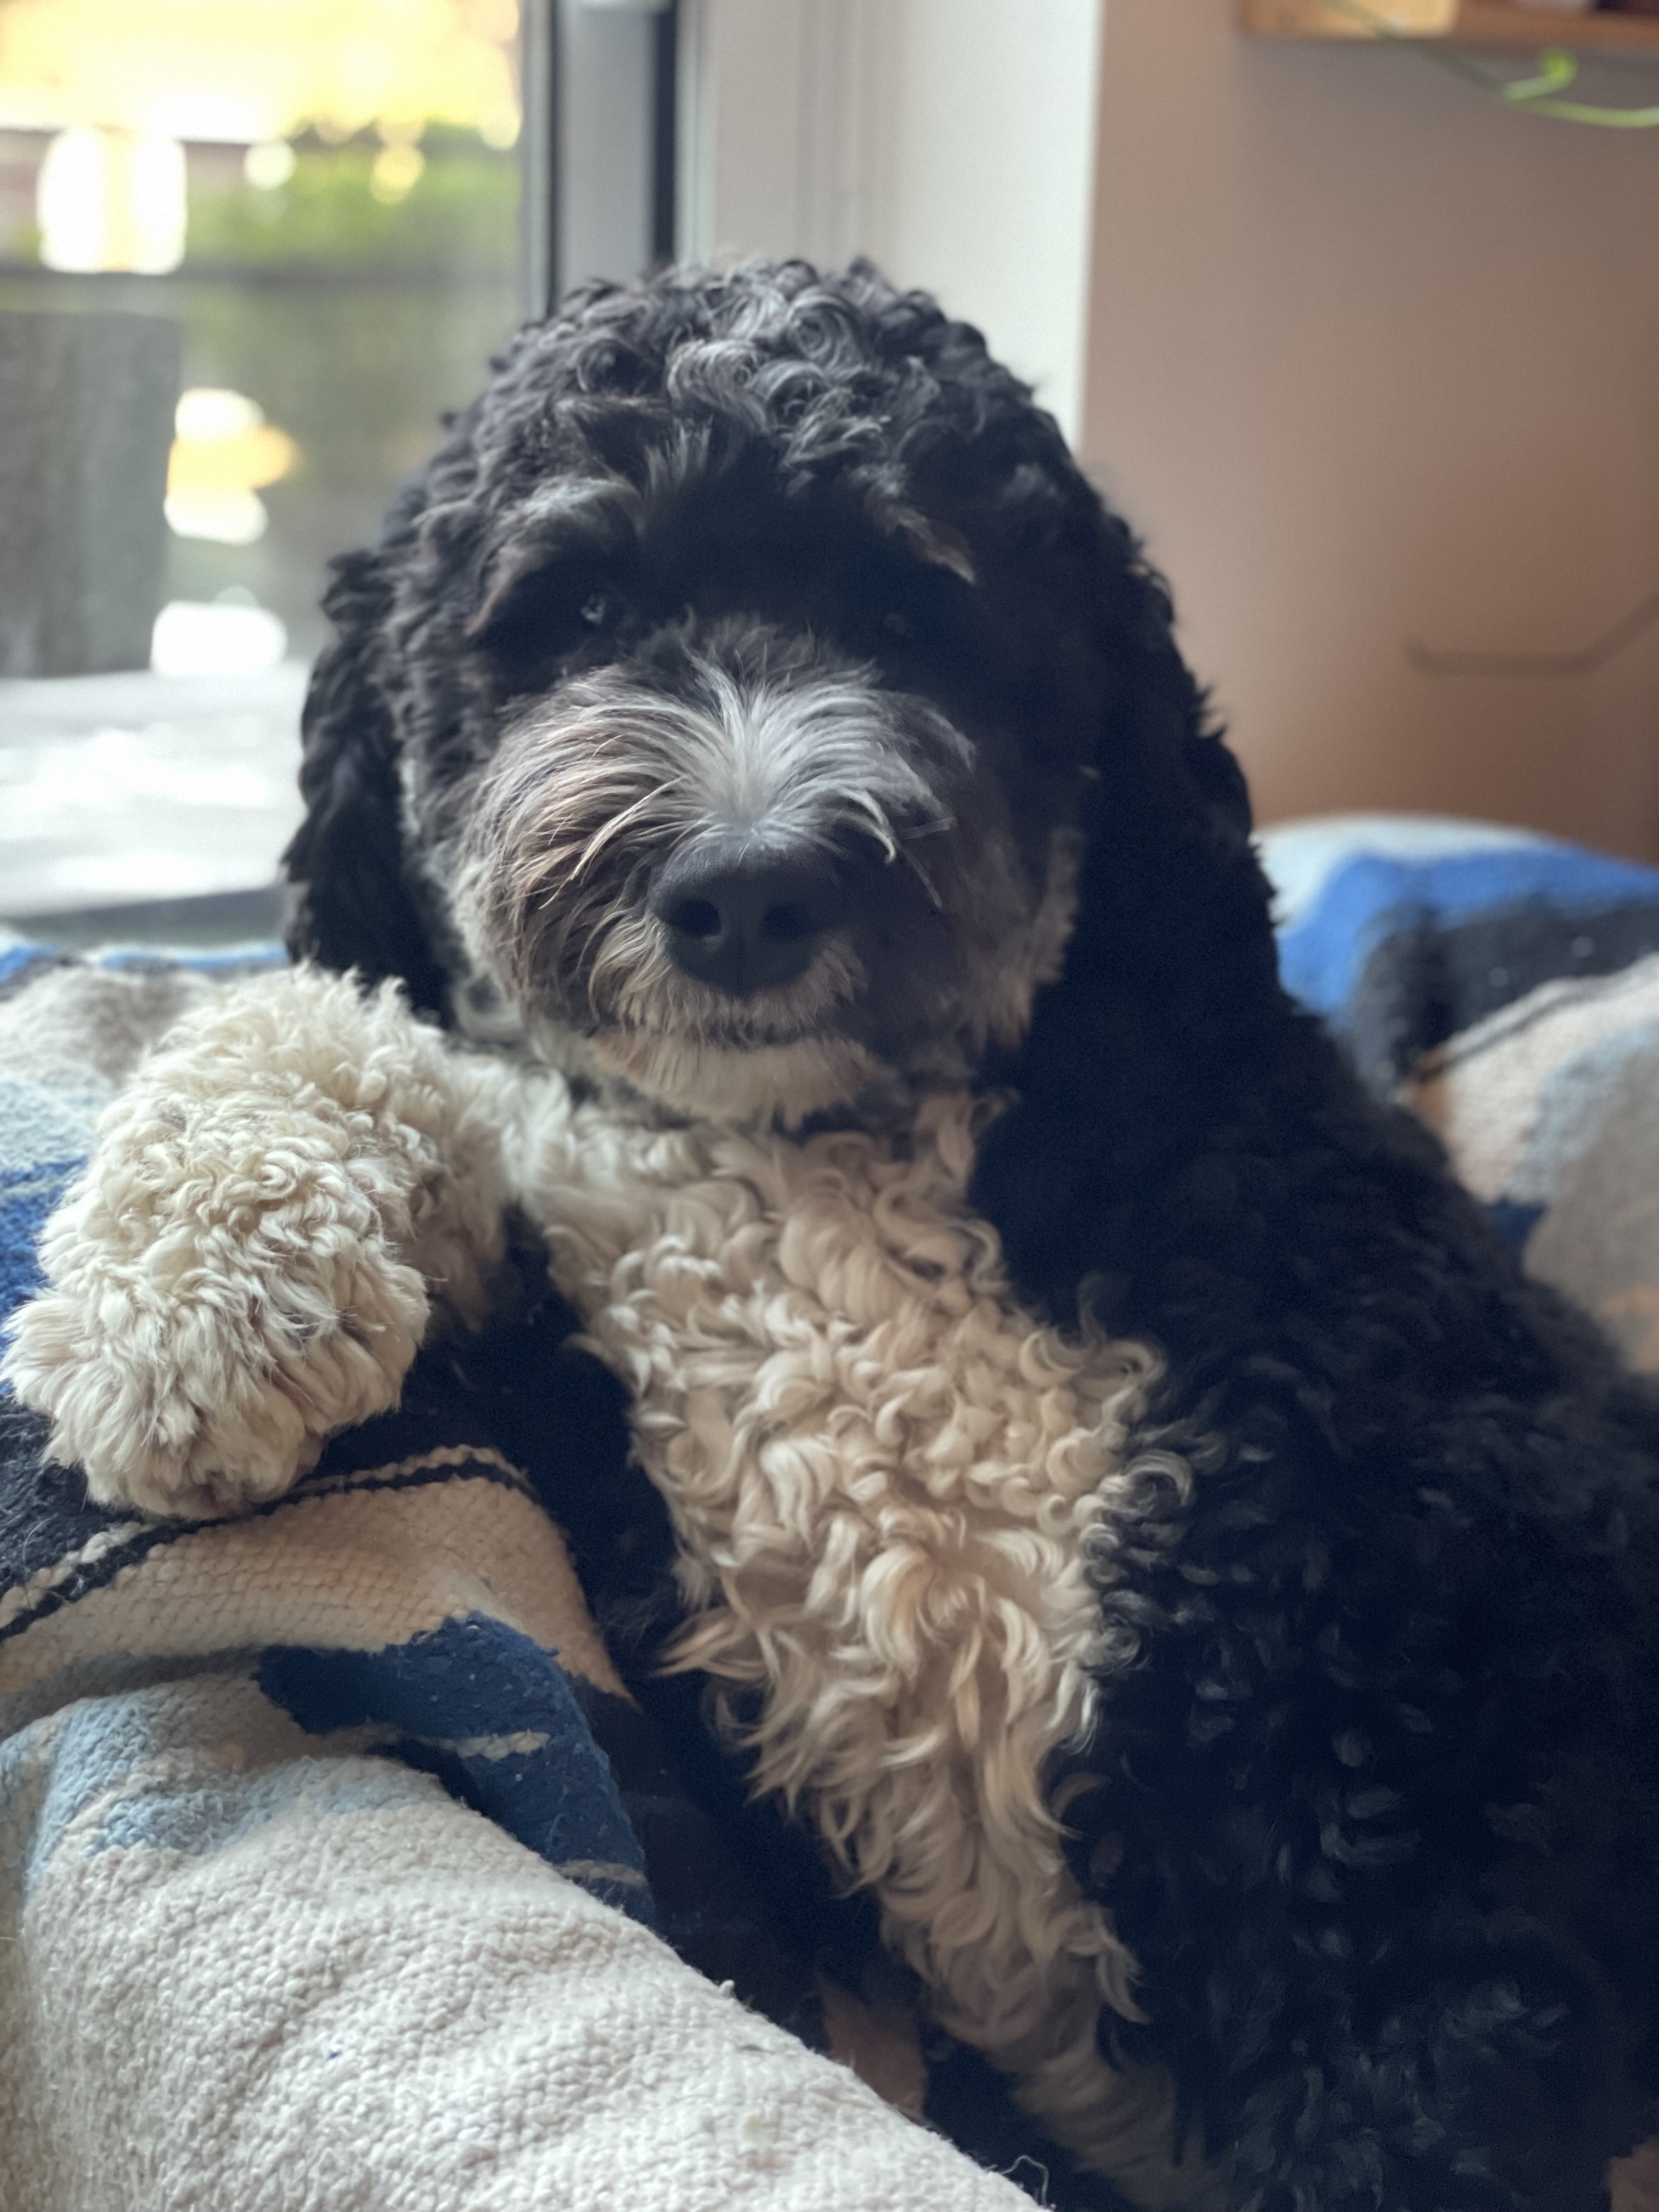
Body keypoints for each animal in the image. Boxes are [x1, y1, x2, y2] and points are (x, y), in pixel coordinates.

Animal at [8, 259, 1659, 2211]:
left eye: (913, 609)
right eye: (581, 610)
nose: (744, 886)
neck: (811, 1168)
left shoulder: (1441, 1770)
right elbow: (330, 1023)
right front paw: (189, 1307)